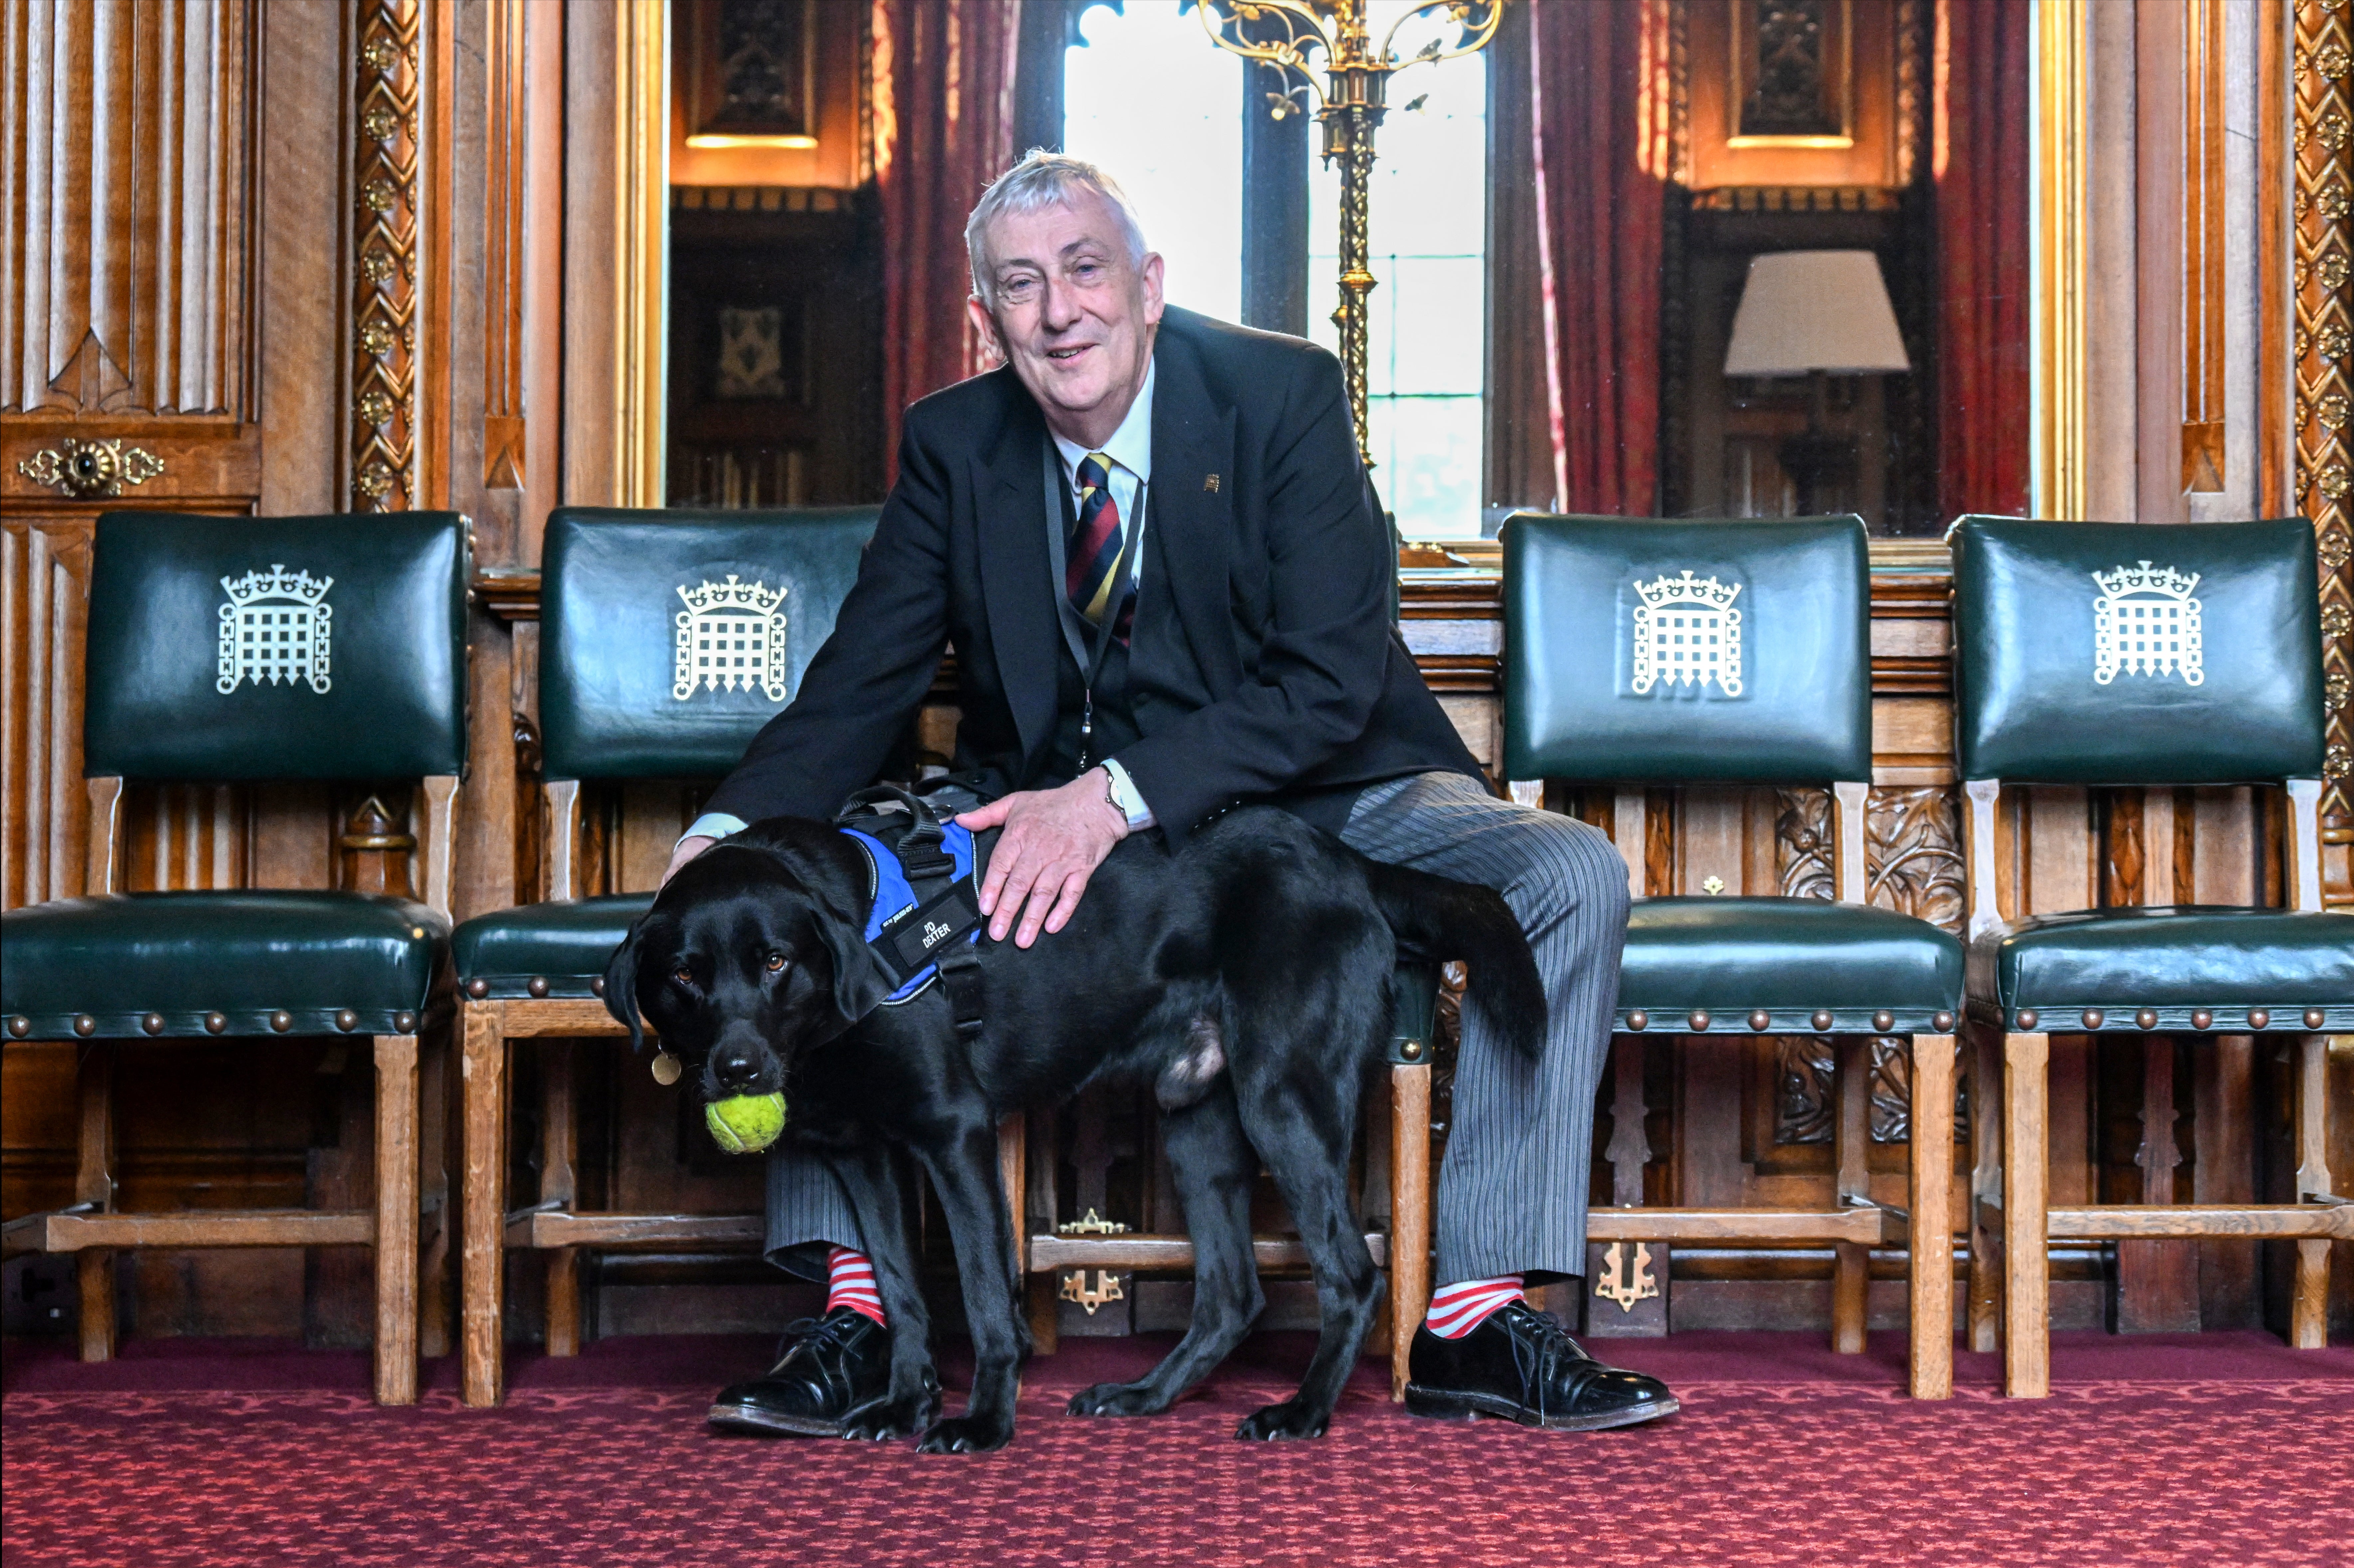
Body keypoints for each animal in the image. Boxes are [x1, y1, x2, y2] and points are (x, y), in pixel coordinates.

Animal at [603, 800, 1544, 1450]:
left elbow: (985, 1292)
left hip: (1282, 1096)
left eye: (773, 961)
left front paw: (982, 1422)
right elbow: (903, 1290)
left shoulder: (954, 1133)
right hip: (1197, 1121)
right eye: (683, 976)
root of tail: (1348, 863)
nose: (739, 1070)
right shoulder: (863, 1153)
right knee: (1231, 1293)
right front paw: (904, 1403)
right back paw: (1146, 1395)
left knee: (1349, 1270)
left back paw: (1304, 1409)